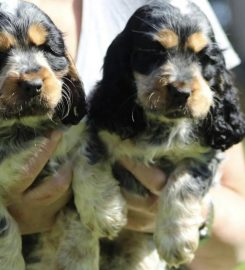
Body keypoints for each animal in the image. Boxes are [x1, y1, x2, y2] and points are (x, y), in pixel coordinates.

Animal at [73, 0, 245, 268]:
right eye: (154, 53)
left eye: (205, 59)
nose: (181, 92)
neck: (162, 125)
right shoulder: (98, 127)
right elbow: (89, 159)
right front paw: (103, 213)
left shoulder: (204, 156)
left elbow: (183, 184)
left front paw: (175, 241)